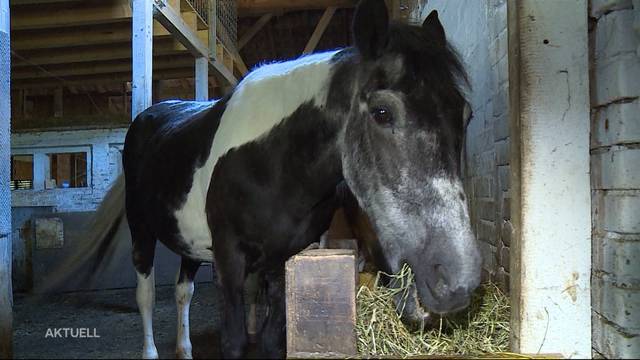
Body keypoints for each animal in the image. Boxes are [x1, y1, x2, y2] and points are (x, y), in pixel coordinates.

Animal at [81, 0, 480, 358]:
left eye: (466, 115)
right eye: (382, 113)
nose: (456, 280)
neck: (273, 163)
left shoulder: (283, 259)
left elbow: (274, 340)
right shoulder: (229, 258)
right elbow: (234, 342)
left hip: (187, 241)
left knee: (183, 293)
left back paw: (184, 349)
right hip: (142, 231)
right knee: (146, 295)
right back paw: (150, 350)